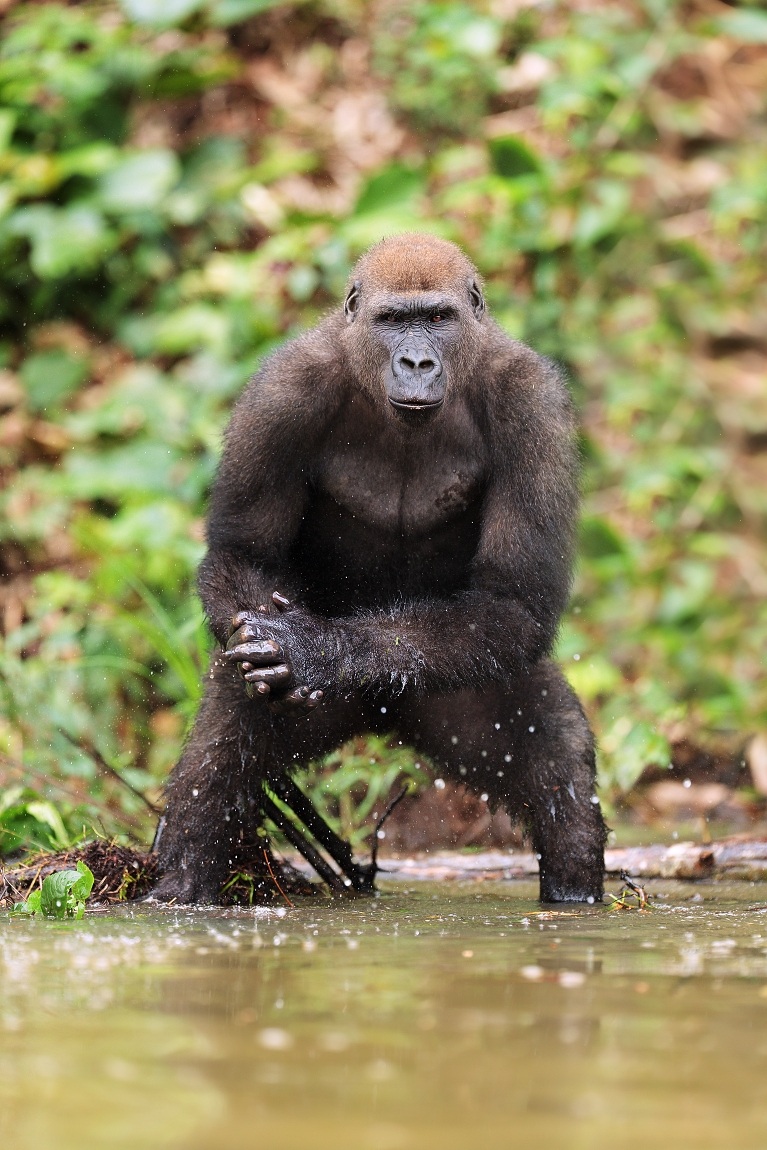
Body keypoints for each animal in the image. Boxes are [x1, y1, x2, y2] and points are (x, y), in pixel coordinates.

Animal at [150, 232, 607, 905]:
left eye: (438, 319)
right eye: (393, 321)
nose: (416, 363)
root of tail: (384, 712)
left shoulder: (532, 403)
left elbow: (514, 601)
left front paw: (318, 651)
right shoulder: (282, 390)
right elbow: (244, 555)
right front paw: (289, 646)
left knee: (558, 773)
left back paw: (574, 892)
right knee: (226, 741)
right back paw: (180, 885)